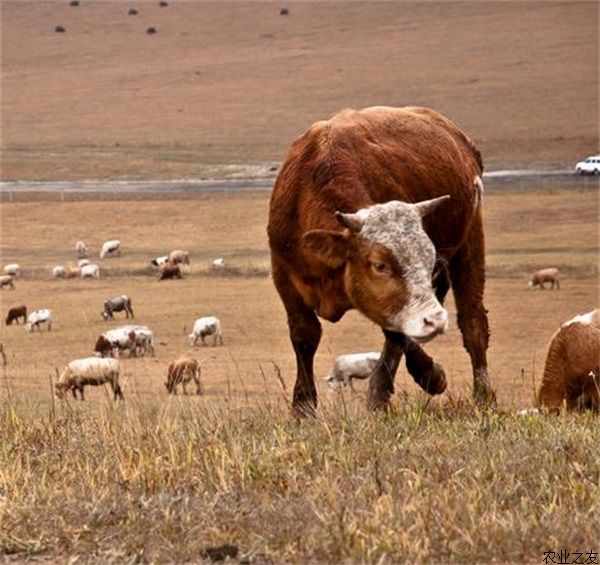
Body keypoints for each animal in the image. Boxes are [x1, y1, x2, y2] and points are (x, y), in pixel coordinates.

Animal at [270, 106, 494, 414]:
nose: (436, 321)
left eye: (427, 258)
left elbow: (397, 331)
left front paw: (431, 375)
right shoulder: (284, 274)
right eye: (380, 265)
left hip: (470, 243)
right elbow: (304, 335)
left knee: (473, 322)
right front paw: (303, 407)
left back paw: (483, 395)